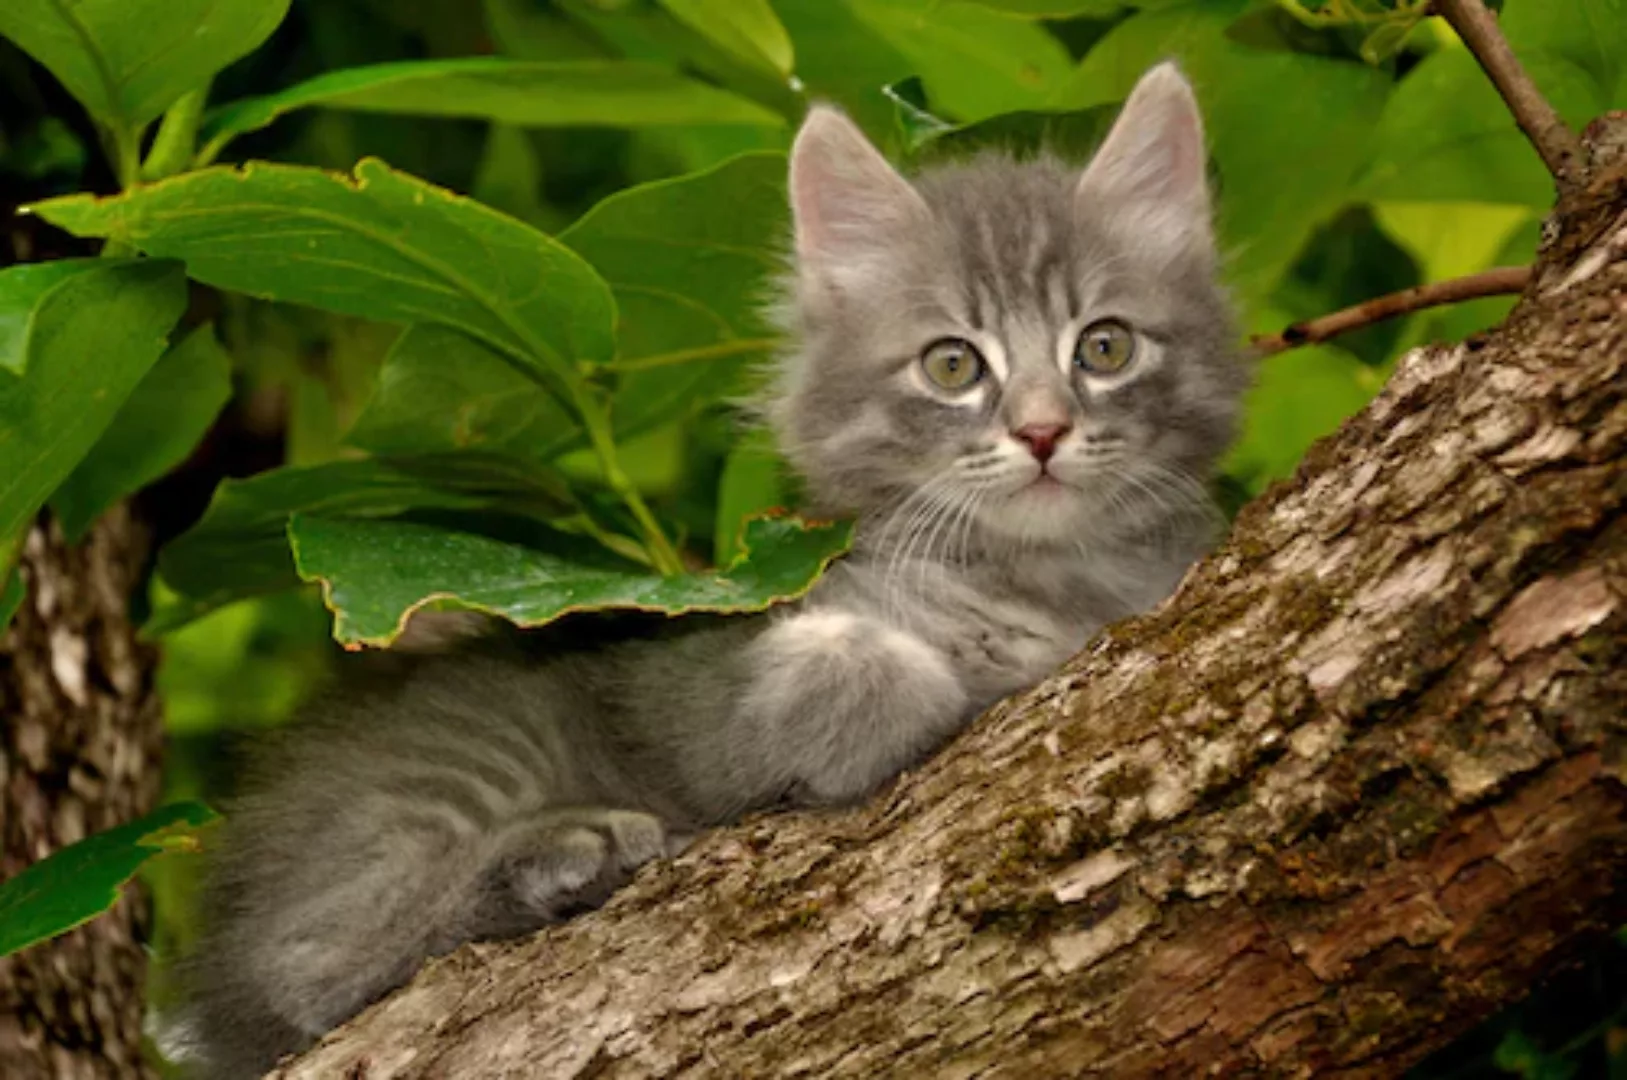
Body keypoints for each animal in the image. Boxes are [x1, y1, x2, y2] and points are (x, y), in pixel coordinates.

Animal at [168, 63, 1243, 1073]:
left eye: (1103, 347)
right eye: (952, 365)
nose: (1043, 431)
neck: (1039, 572)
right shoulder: (689, 672)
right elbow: (841, 673)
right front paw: (930, 680)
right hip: (472, 751)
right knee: (309, 958)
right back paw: (565, 854)